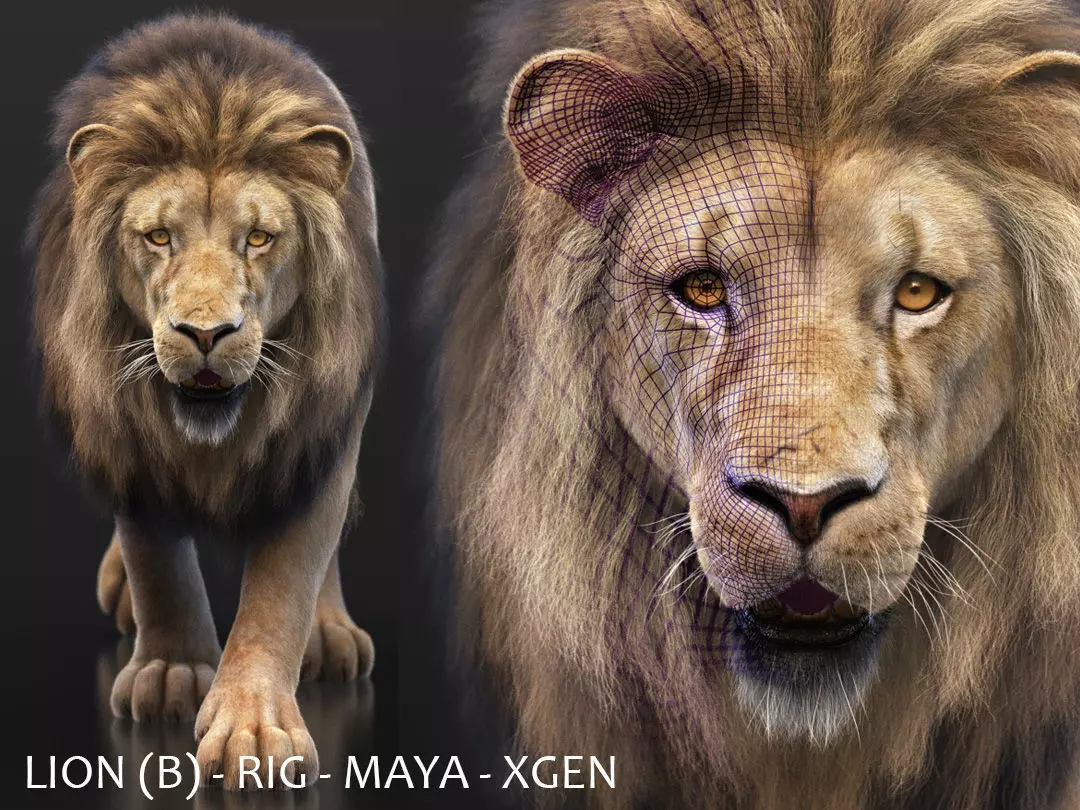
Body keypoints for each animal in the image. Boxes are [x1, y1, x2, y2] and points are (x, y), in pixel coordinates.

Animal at [28, 14, 382, 789]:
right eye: (159, 236)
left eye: (259, 237)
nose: (206, 333)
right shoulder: (127, 436)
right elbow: (157, 561)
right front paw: (170, 671)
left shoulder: (315, 432)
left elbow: (283, 585)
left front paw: (254, 726)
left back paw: (330, 633)